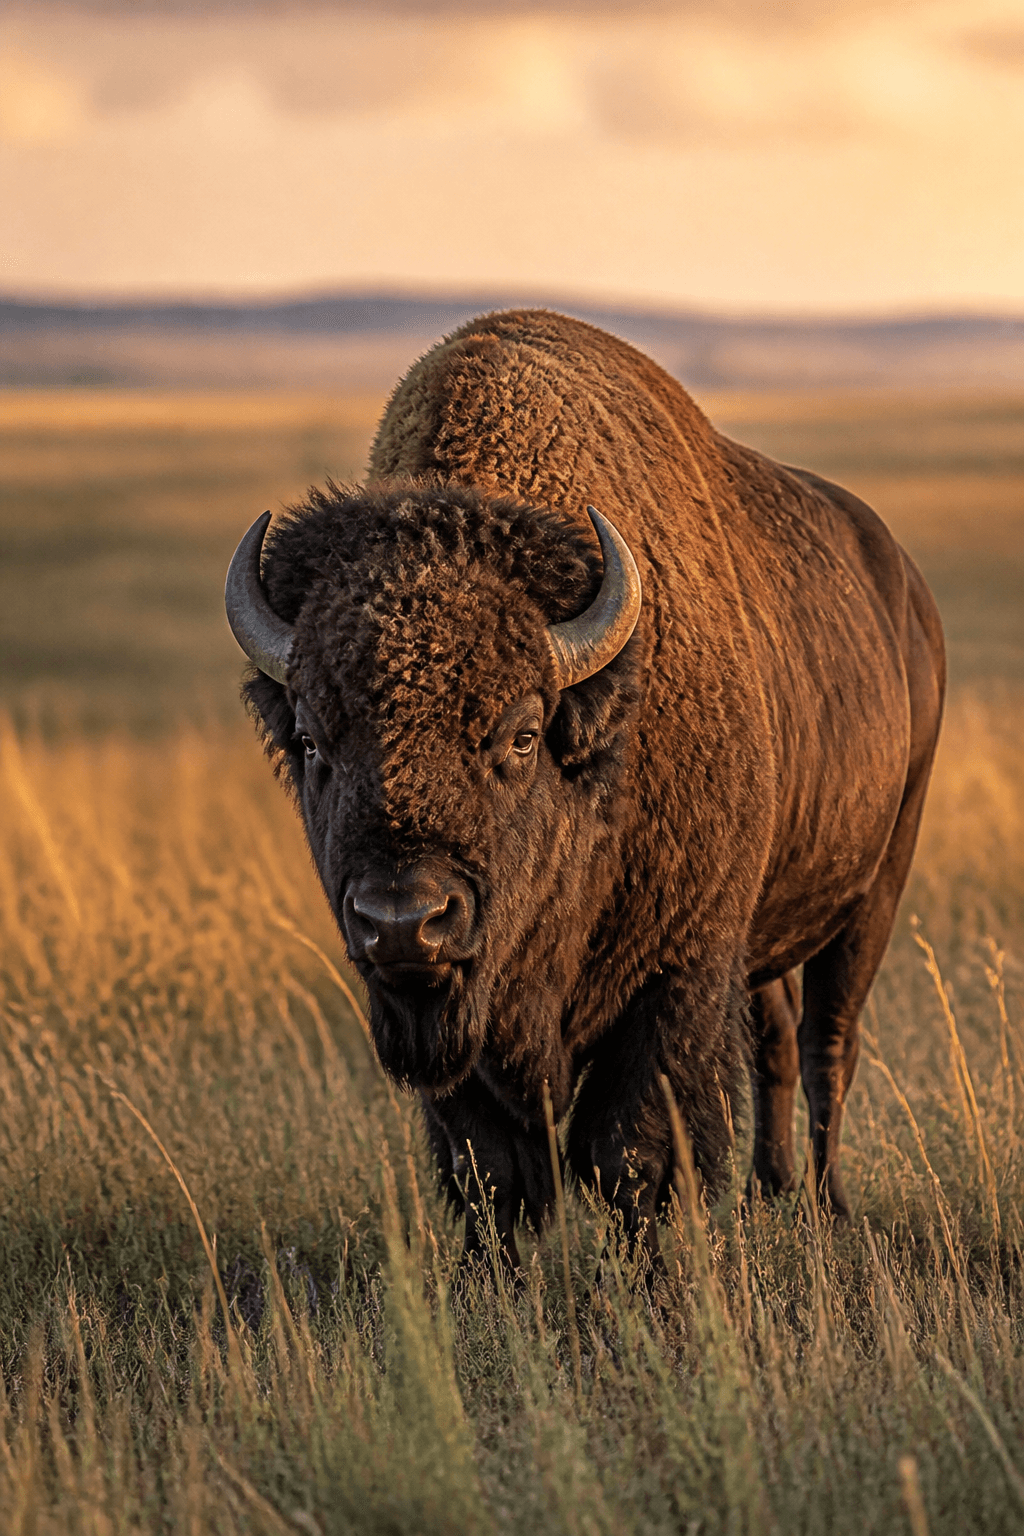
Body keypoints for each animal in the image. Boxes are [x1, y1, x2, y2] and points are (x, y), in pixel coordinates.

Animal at [225, 309, 945, 1271]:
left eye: (521, 735)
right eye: (311, 740)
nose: (404, 921)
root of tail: (905, 586)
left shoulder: (677, 970)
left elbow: (632, 1153)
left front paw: (660, 1280)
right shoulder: (465, 1020)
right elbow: (492, 1170)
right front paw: (495, 1285)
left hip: (877, 884)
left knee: (828, 1042)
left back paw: (826, 1208)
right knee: (778, 1040)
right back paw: (772, 1193)